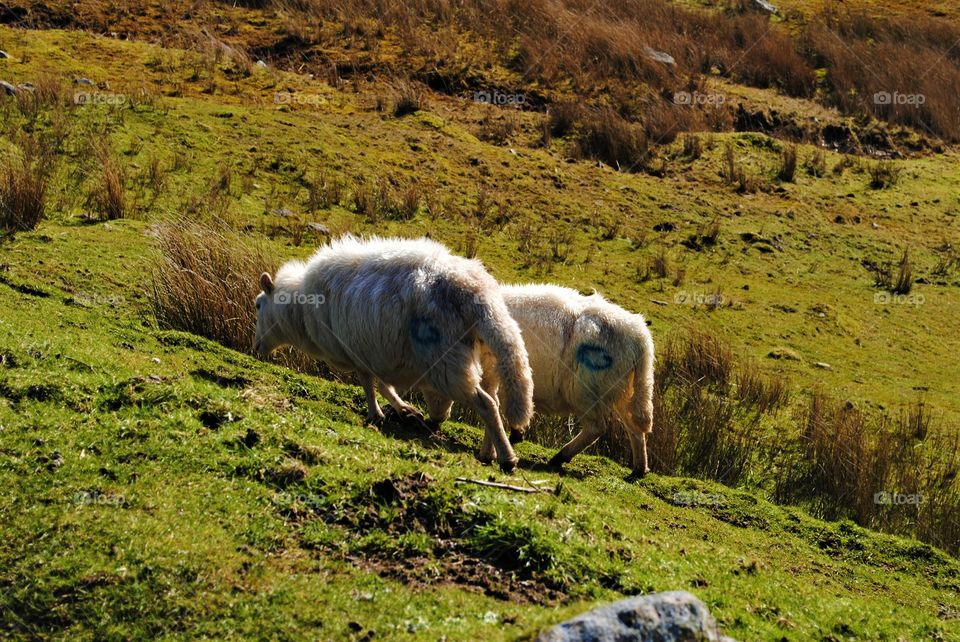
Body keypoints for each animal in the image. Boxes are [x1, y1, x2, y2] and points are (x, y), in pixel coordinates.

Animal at [253, 235, 534, 472]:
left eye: (257, 305)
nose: (256, 348)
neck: (299, 310)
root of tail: (476, 291)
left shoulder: (358, 352)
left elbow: (369, 384)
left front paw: (375, 414)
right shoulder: (375, 352)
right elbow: (383, 384)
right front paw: (405, 409)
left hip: (447, 361)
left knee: (486, 403)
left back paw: (508, 459)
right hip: (487, 356)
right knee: (495, 400)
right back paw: (489, 453)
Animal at [422, 284, 655, 477]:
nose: (434, 422)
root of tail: (640, 335)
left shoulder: (495, 369)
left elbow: (493, 402)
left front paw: (491, 452)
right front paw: (513, 436)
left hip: (587, 388)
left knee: (597, 427)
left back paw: (561, 457)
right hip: (624, 389)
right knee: (635, 427)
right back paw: (639, 469)